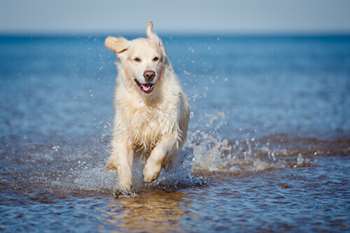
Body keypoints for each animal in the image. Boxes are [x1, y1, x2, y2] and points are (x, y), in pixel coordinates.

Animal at [105, 21, 190, 193]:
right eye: (137, 59)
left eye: (155, 58)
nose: (149, 74)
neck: (146, 101)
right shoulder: (124, 133)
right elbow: (123, 161)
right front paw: (124, 184)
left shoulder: (170, 130)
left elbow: (159, 150)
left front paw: (150, 172)